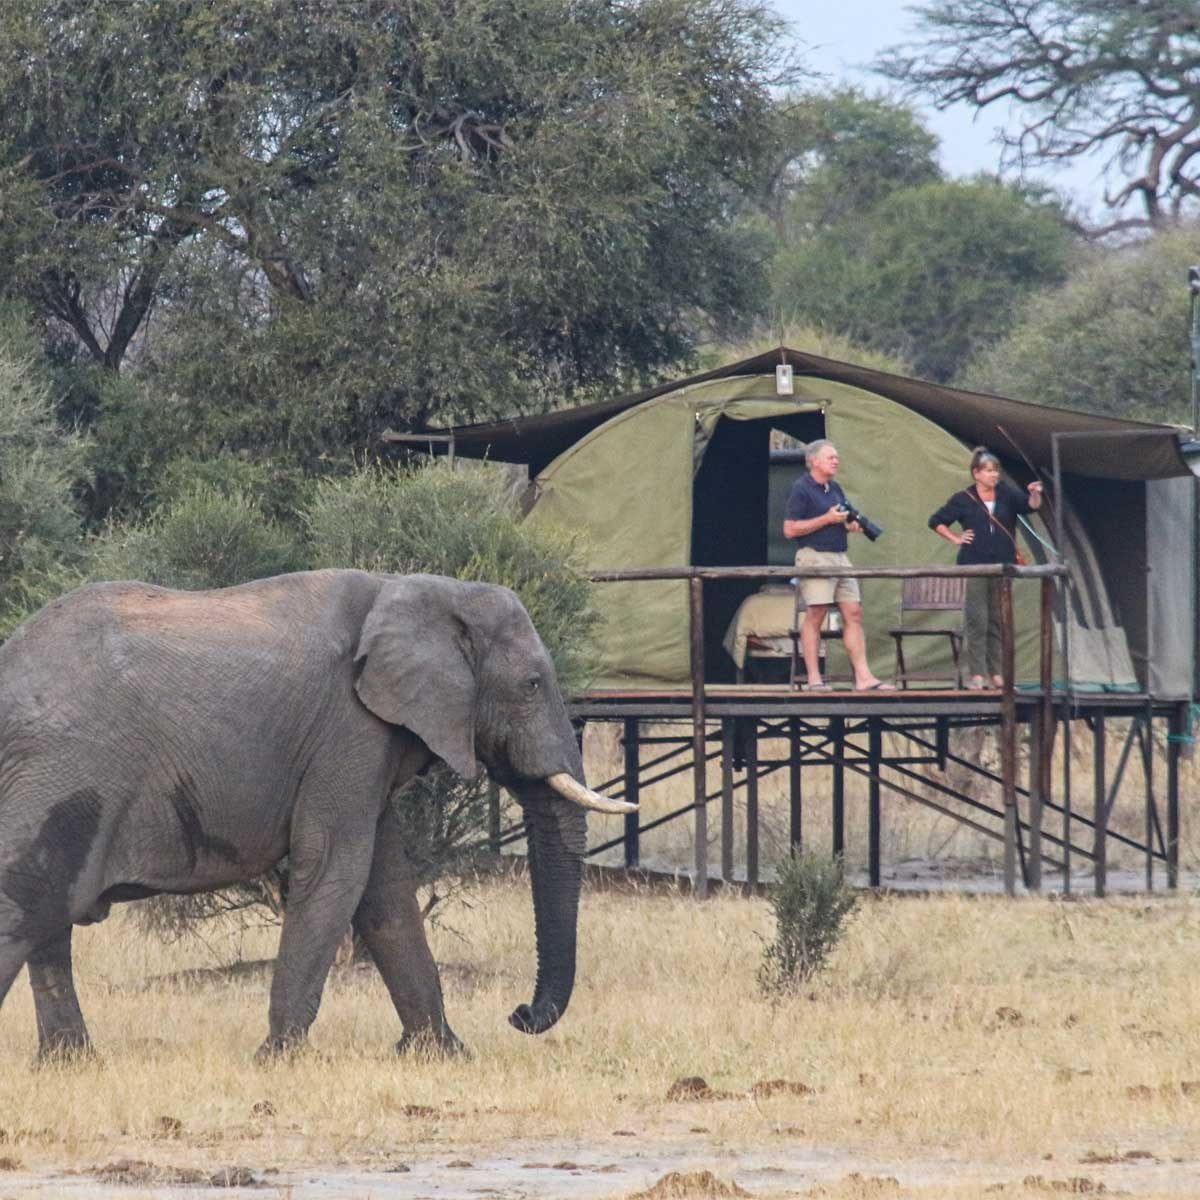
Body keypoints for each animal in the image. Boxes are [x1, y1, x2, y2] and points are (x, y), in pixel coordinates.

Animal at [0, 569, 633, 1061]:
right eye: (532, 684)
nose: (519, 1014)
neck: (418, 588)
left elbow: (386, 887)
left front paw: (443, 1055)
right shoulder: (349, 729)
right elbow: (337, 867)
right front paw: (278, 1059)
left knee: (47, 912)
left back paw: (72, 1065)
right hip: (63, 766)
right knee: (29, 902)